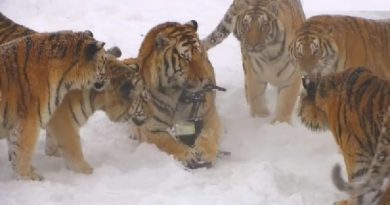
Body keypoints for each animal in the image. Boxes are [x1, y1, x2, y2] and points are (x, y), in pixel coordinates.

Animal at [0, 31, 114, 180]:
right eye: (104, 61)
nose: (110, 79)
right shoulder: (28, 122)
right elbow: (23, 151)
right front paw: (28, 178)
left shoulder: (15, 124)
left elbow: (15, 150)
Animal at [131, 20, 222, 169]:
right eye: (186, 59)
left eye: (202, 55)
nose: (205, 79)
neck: (177, 94)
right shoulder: (151, 127)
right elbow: (168, 142)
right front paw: (188, 155)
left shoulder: (208, 114)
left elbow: (209, 133)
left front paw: (204, 153)